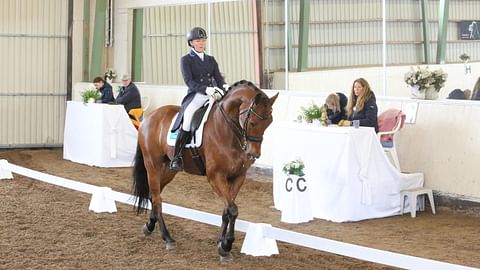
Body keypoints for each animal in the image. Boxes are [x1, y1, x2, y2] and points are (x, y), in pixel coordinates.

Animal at [133, 80, 280, 260]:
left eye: (269, 122)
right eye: (252, 122)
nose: (253, 154)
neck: (228, 130)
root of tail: (149, 118)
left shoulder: (238, 176)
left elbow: (227, 210)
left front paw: (221, 243)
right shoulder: (216, 176)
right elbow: (233, 209)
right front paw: (226, 245)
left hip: (168, 170)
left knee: (154, 195)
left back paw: (149, 226)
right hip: (153, 166)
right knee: (157, 200)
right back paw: (167, 238)